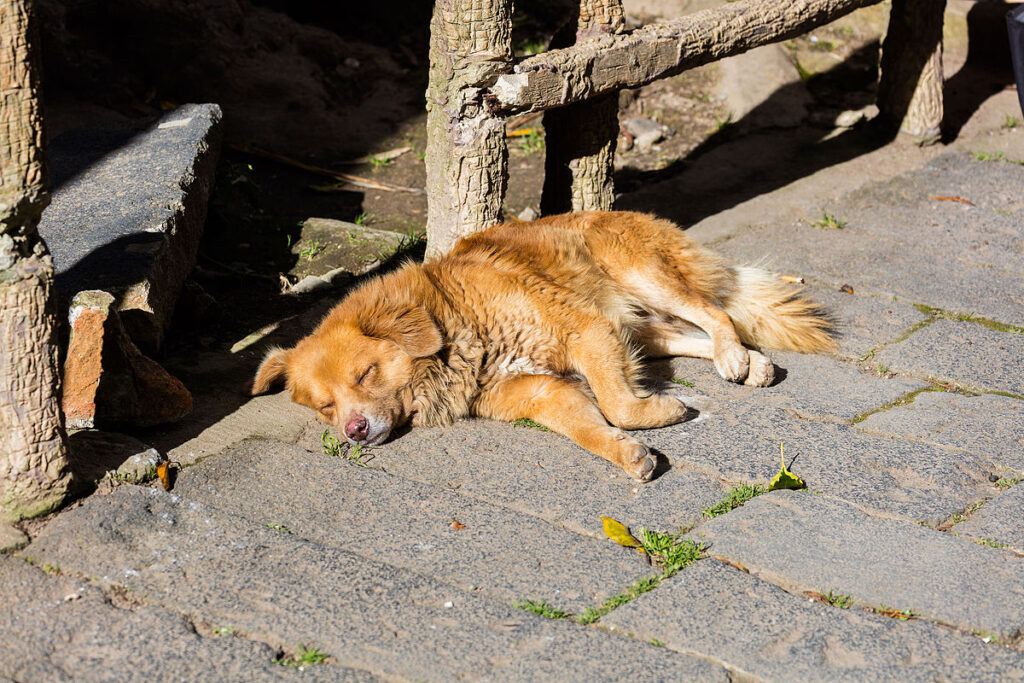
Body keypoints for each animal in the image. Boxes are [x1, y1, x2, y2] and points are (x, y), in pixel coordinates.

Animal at [251, 210, 835, 483]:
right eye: (324, 406)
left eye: (365, 374)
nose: (353, 431)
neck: (454, 325)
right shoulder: (545, 392)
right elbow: (592, 428)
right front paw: (628, 454)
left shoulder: (586, 332)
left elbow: (619, 404)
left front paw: (662, 413)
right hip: (638, 327)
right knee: (696, 333)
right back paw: (750, 362)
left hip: (639, 276)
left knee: (716, 311)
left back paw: (736, 358)